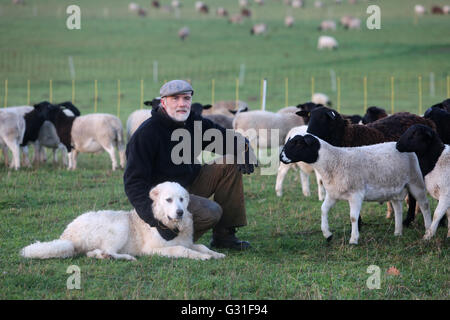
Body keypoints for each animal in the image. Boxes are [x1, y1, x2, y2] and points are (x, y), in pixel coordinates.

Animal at [20, 182, 225, 260]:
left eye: (182, 199)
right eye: (168, 200)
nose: (180, 212)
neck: (167, 224)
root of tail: (67, 236)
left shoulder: (187, 241)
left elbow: (200, 246)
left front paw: (215, 254)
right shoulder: (153, 249)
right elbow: (181, 250)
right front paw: (203, 257)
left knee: (94, 253)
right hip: (120, 227)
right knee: (108, 250)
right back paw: (125, 257)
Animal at [282, 134, 432, 244]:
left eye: (298, 143)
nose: (281, 156)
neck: (333, 161)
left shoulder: (356, 194)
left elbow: (353, 217)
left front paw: (353, 239)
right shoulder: (333, 194)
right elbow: (323, 209)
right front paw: (327, 234)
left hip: (415, 181)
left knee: (424, 205)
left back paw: (428, 231)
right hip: (394, 188)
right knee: (398, 208)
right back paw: (398, 232)